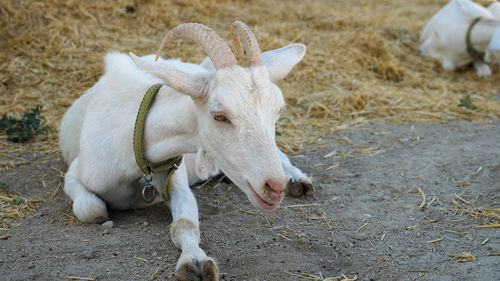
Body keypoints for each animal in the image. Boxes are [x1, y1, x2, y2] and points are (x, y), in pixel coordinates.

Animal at [59, 22, 308, 280]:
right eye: (219, 115)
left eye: (278, 110)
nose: (274, 188)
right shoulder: (75, 173)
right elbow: (92, 209)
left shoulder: (175, 179)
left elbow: (185, 223)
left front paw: (195, 262)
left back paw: (297, 180)